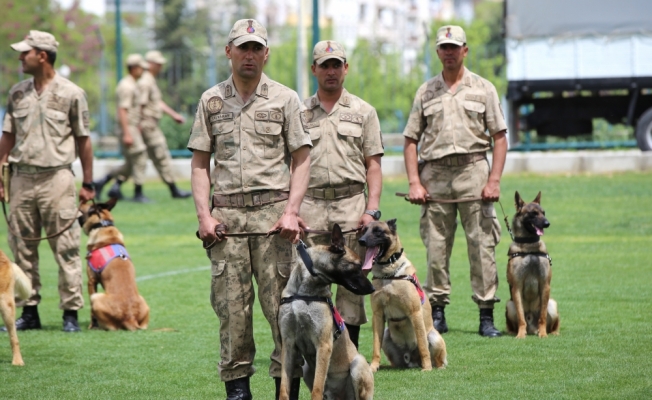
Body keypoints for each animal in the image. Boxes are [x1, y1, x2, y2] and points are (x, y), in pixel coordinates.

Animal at [78, 198, 150, 332]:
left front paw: (92, 325)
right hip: (143, 302)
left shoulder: (91, 281)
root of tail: (130, 317)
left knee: (112, 327)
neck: (103, 225)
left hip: (96, 298)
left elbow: (91, 312)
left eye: (80, 209)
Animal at [278, 225, 374, 400]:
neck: (304, 292)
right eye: (357, 266)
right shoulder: (288, 345)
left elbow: (317, 389)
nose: (372, 288)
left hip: (357, 364)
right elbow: (284, 388)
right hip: (307, 368)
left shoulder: (323, 345)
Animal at [360, 219, 446, 372]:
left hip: (433, 336)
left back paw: (436, 367)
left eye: (378, 231)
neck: (388, 274)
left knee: (437, 358)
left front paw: (427, 368)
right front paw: (373, 367)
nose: (361, 241)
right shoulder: (378, 315)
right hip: (386, 335)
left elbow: (423, 346)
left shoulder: (415, 313)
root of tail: (412, 360)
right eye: (364, 230)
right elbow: (375, 346)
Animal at [504, 191, 560, 338]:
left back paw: (552, 332)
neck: (529, 247)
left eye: (543, 212)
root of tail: (531, 329)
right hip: (509, 304)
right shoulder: (516, 287)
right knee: (515, 322)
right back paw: (514, 332)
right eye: (533, 213)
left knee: (553, 324)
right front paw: (520, 335)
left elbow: (542, 316)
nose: (547, 223)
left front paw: (543, 334)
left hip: (552, 304)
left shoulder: (545, 285)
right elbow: (521, 316)